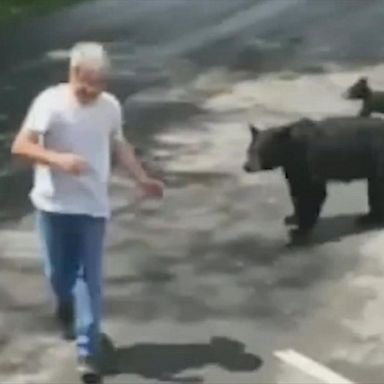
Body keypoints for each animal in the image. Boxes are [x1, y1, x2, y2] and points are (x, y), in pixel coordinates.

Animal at [243, 116, 384, 237]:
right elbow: (296, 189)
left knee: (377, 188)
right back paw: (368, 218)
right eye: (249, 150)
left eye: (262, 151)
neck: (291, 148)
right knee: (374, 190)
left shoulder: (308, 162)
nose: (247, 166)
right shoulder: (293, 168)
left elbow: (312, 192)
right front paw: (292, 218)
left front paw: (300, 231)